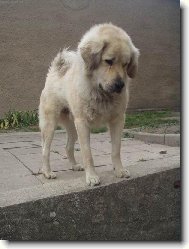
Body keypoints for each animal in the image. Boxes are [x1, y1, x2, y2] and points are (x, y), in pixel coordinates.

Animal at [38, 23, 139, 187]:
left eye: (125, 64)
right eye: (108, 61)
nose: (120, 85)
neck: (101, 93)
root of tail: (55, 71)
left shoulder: (117, 120)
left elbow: (116, 150)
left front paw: (119, 170)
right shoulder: (83, 123)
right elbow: (87, 153)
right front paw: (91, 176)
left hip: (73, 128)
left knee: (68, 147)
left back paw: (74, 166)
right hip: (50, 126)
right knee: (45, 150)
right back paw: (47, 172)